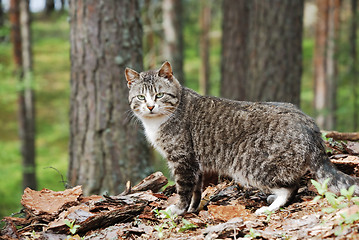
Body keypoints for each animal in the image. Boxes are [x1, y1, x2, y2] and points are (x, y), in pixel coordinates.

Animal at [125, 61, 358, 215]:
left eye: (159, 95)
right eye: (140, 97)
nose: (150, 106)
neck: (156, 122)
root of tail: (309, 124)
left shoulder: (182, 160)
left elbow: (184, 189)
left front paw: (179, 210)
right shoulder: (195, 164)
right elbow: (196, 190)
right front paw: (192, 209)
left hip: (253, 166)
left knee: (289, 188)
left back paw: (268, 208)